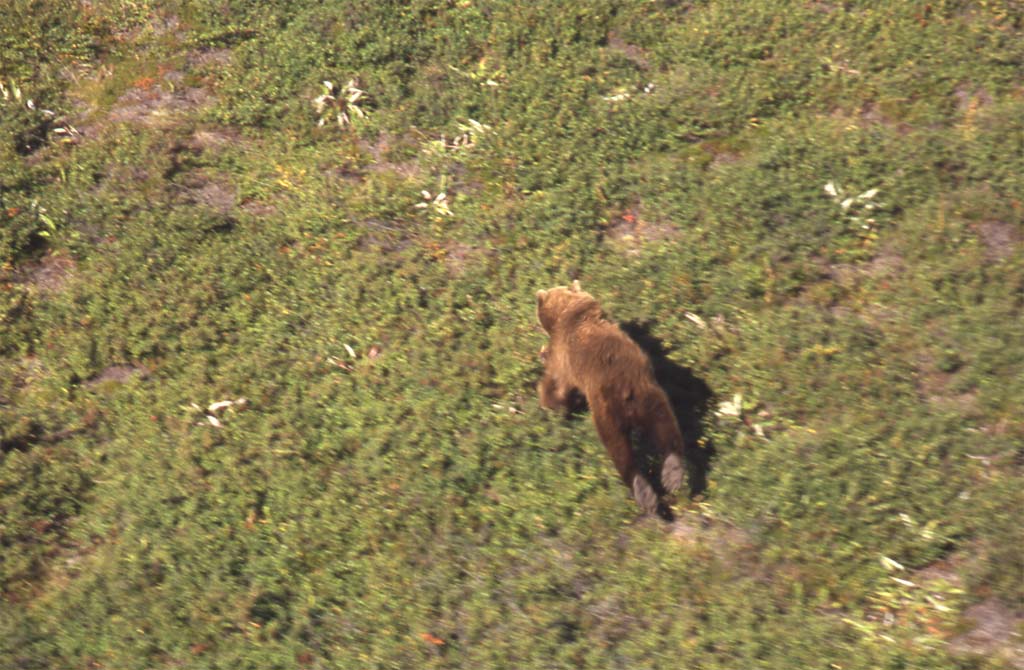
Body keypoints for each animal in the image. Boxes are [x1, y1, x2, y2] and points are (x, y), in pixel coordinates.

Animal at [536, 278, 688, 514]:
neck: (570, 313)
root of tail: (627, 392)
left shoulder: (564, 357)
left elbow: (556, 383)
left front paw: (548, 401)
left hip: (606, 410)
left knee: (618, 447)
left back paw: (642, 490)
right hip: (652, 396)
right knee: (667, 428)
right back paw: (672, 474)